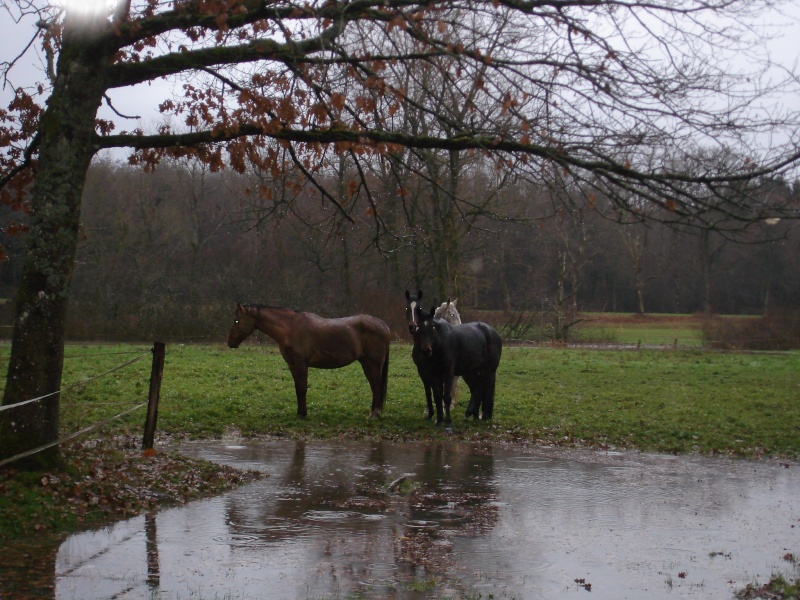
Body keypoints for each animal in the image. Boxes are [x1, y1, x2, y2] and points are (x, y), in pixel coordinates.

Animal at [228, 304, 390, 418]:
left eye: (236, 320)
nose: (230, 343)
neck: (290, 327)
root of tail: (383, 325)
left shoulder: (301, 364)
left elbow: (302, 388)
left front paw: (302, 414)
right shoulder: (292, 364)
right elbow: (298, 388)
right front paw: (301, 411)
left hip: (372, 364)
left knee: (376, 387)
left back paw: (374, 415)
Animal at [406, 296, 500, 426]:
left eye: (457, 314)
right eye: (452, 314)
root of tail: (493, 332)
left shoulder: (446, 372)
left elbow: (446, 392)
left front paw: (445, 410)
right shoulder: (424, 371)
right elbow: (430, 392)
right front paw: (429, 412)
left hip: (487, 370)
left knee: (488, 389)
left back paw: (484, 415)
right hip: (470, 372)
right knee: (477, 388)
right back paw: (472, 414)